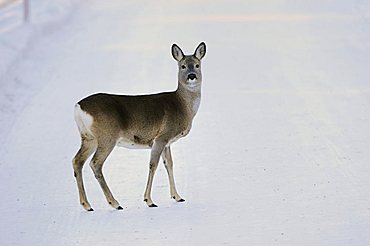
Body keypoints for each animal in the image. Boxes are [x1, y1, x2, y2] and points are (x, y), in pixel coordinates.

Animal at [71, 42, 207, 211]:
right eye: (182, 66)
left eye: (197, 65)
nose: (191, 76)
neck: (182, 106)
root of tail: (78, 107)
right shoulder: (162, 137)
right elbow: (153, 165)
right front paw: (149, 200)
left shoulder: (167, 142)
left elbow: (169, 164)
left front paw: (177, 196)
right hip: (107, 136)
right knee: (95, 163)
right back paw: (115, 203)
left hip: (88, 137)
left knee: (77, 161)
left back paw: (87, 204)